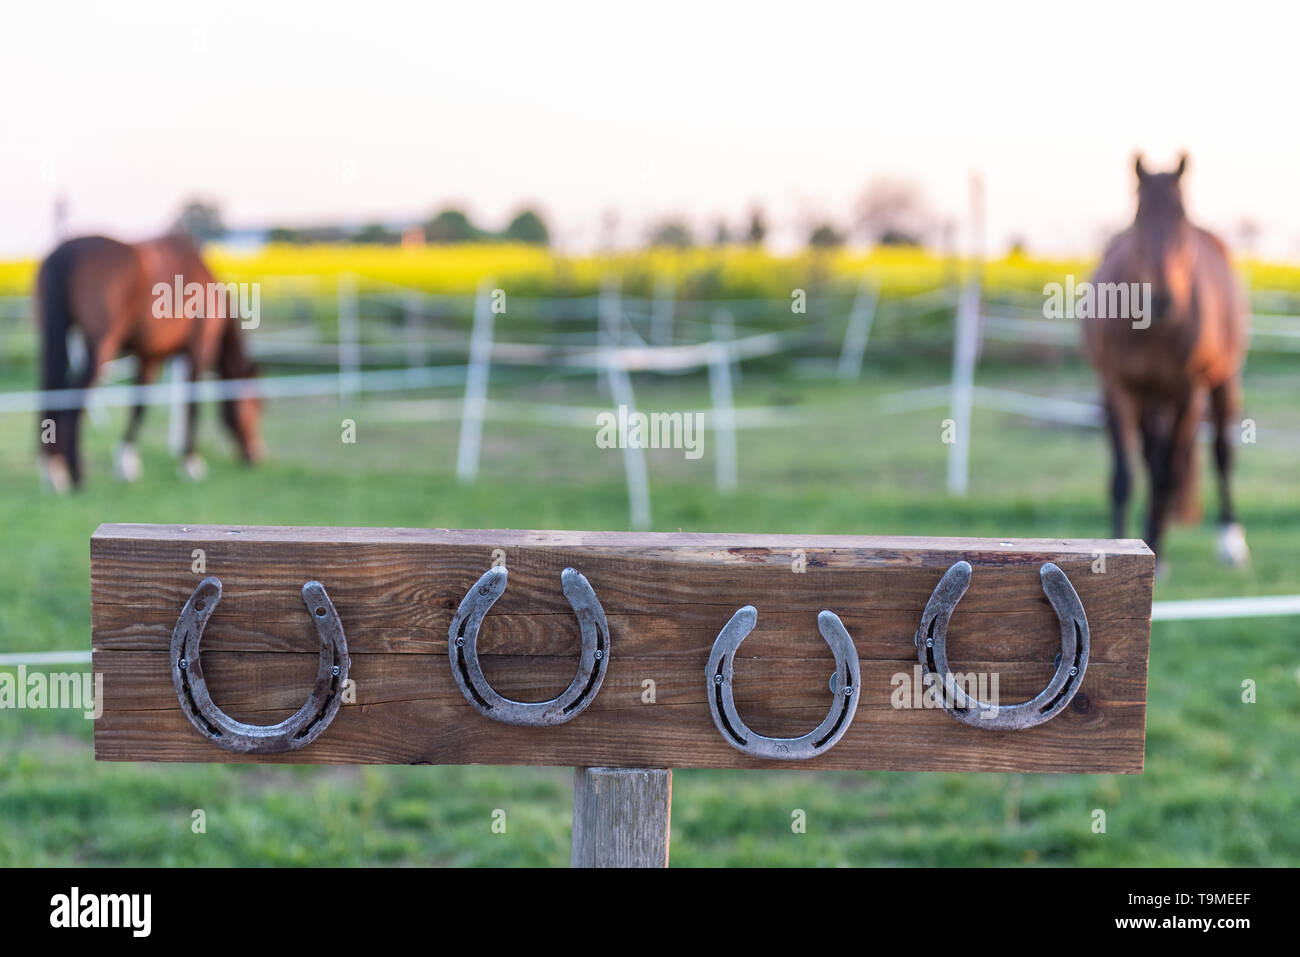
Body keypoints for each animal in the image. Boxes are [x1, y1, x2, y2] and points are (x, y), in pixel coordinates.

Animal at [36, 230, 263, 486]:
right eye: (258, 405)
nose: (256, 456)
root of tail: (67, 253)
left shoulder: (150, 357)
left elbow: (139, 405)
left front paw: (126, 463)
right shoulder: (197, 350)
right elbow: (192, 405)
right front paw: (191, 463)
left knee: (51, 391)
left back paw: (54, 470)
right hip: (100, 348)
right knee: (73, 398)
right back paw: (76, 475)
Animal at [1081, 153, 1253, 564]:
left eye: (1181, 216)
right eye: (1139, 216)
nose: (1163, 299)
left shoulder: (1187, 393)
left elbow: (1166, 476)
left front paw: (1156, 549)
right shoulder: (1117, 388)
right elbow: (1124, 477)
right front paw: (1117, 545)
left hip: (1221, 383)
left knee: (1219, 455)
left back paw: (1230, 539)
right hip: (1149, 399)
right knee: (1151, 457)